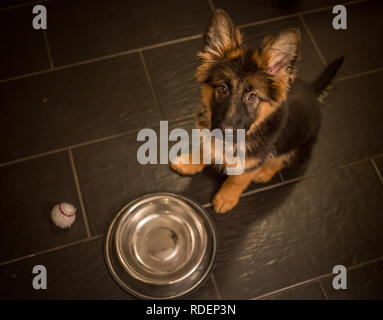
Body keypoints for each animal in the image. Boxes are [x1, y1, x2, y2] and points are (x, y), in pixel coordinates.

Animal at [170, 10, 344, 214]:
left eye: (252, 96)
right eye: (222, 88)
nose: (224, 132)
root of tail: (312, 90)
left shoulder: (252, 160)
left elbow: (238, 179)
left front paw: (226, 197)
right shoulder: (208, 134)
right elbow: (204, 148)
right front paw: (190, 162)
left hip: (299, 147)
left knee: (281, 161)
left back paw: (264, 173)